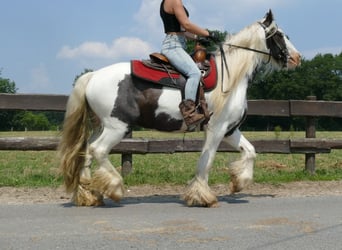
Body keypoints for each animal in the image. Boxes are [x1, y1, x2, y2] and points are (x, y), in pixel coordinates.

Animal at [59, 10, 302, 207]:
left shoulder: (230, 130)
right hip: (116, 127)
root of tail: (93, 76)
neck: (231, 76)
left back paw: (89, 195)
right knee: (98, 150)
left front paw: (238, 183)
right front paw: (203, 197)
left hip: (101, 126)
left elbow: (250, 152)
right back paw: (115, 188)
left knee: (86, 152)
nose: (297, 58)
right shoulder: (216, 129)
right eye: (279, 35)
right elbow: (206, 162)